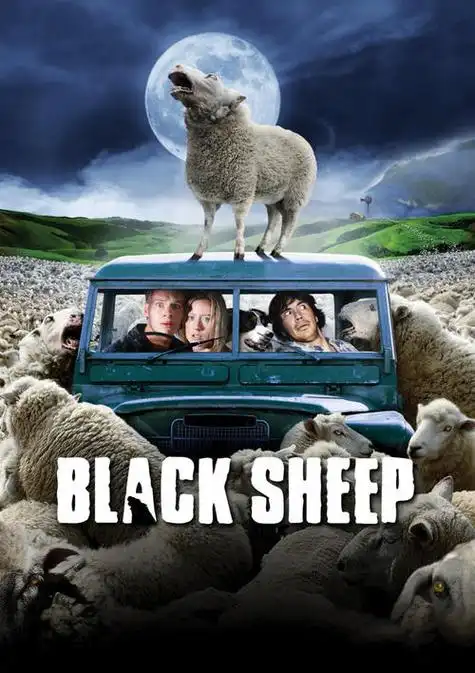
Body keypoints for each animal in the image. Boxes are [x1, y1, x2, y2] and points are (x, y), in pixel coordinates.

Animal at [168, 63, 317, 260]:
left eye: (213, 77)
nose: (177, 65)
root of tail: (302, 138)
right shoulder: (207, 198)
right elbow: (208, 224)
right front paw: (197, 253)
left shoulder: (242, 190)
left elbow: (239, 223)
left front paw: (239, 252)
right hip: (273, 194)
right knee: (274, 218)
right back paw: (261, 247)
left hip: (295, 193)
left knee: (289, 222)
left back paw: (277, 250)